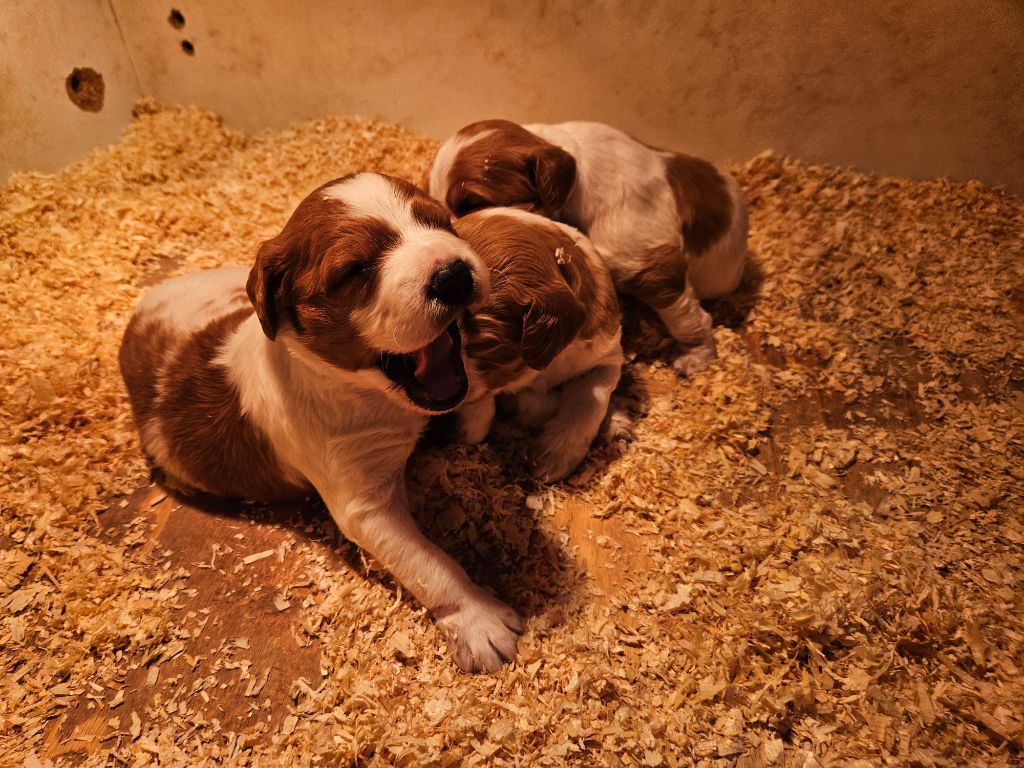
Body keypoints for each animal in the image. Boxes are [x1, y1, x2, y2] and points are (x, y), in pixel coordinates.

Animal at [117, 173, 528, 671]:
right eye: (355, 270)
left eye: (441, 222)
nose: (453, 276)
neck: (375, 396)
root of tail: (142, 307)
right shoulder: (365, 506)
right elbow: (428, 562)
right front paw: (477, 618)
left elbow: (475, 405)